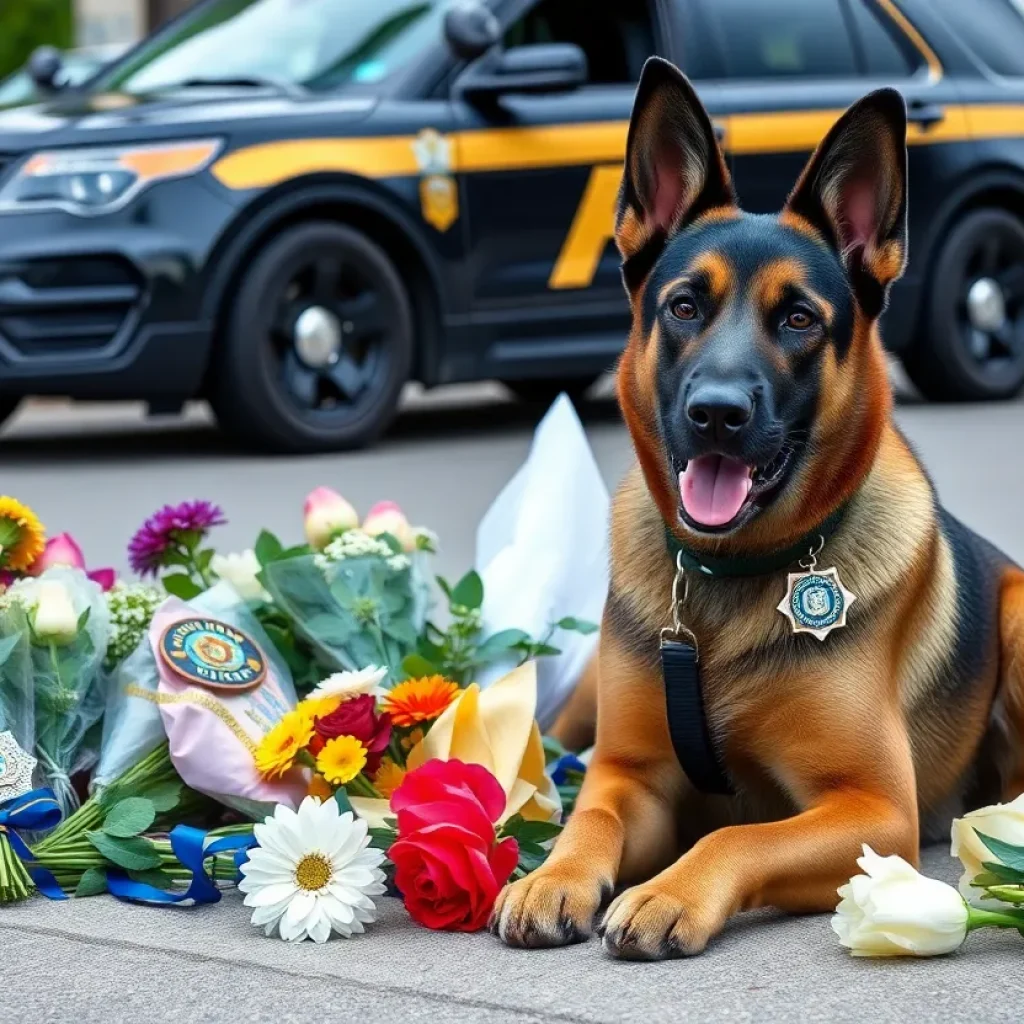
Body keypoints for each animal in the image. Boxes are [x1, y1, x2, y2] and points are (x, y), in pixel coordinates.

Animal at [487, 59, 1024, 958]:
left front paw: (668, 893)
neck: (730, 577)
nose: (716, 413)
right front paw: (551, 876)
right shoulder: (631, 778)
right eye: (684, 306)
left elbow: (736, 834)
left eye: (799, 318)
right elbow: (590, 818)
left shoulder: (874, 809)